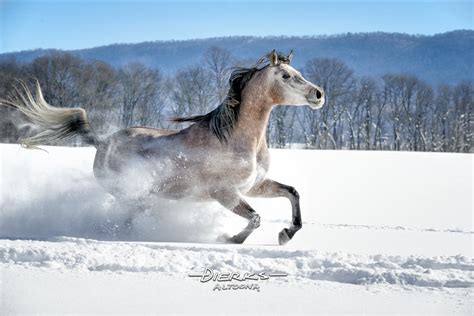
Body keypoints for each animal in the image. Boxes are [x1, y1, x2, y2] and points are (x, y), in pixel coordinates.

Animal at [3, 50, 324, 246]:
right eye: (286, 76)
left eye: (297, 71)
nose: (319, 94)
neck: (235, 138)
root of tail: (102, 142)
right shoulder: (224, 193)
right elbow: (255, 218)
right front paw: (232, 239)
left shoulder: (254, 186)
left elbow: (292, 192)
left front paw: (287, 233)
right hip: (132, 194)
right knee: (128, 218)